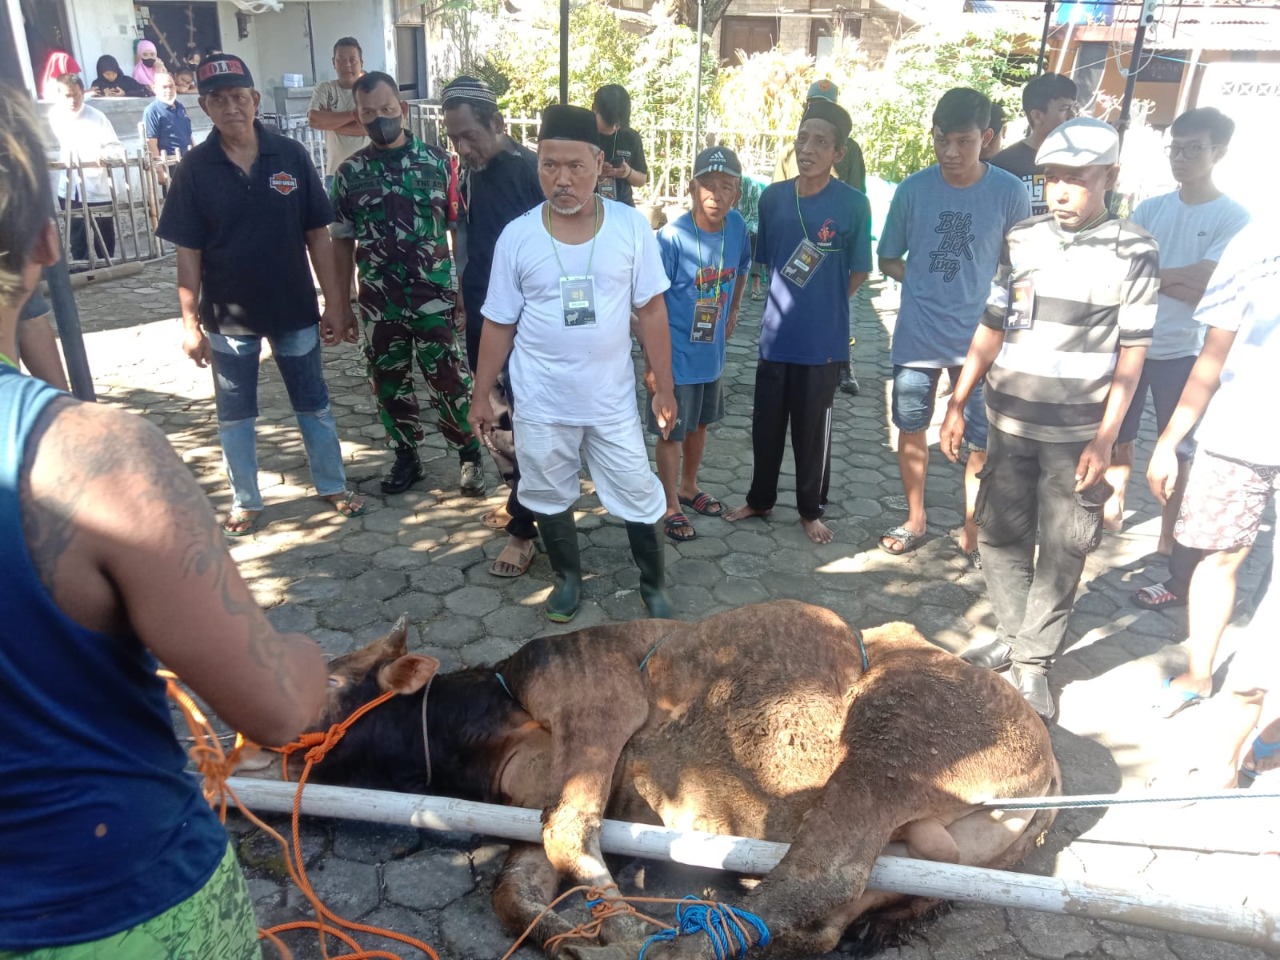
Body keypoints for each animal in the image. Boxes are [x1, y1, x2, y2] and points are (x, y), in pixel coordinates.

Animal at [304, 604, 1054, 957]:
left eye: (334, 682)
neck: (493, 715)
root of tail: (1047, 775)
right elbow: (515, 890)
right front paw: (574, 937)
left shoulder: (597, 712)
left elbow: (569, 832)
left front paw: (619, 933)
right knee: (826, 922)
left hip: (888, 746)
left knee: (818, 875)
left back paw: (671, 949)